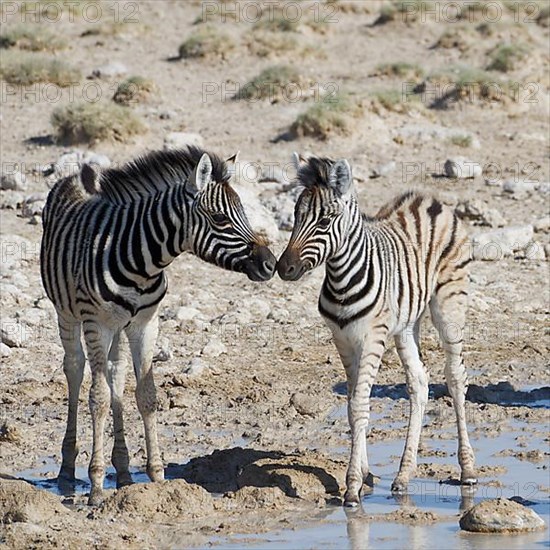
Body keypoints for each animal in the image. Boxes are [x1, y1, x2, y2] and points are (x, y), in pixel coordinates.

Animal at [41, 148, 278, 508]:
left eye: (244, 214)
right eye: (220, 219)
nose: (270, 264)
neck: (141, 263)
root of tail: (77, 174)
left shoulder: (145, 323)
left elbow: (146, 395)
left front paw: (156, 477)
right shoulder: (97, 323)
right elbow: (98, 398)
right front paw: (96, 486)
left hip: (120, 328)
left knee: (116, 375)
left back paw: (124, 471)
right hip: (67, 314)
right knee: (76, 369)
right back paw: (68, 470)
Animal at [280, 154, 478, 508]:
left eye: (325, 221)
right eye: (295, 216)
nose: (283, 269)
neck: (341, 279)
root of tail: (428, 198)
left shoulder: (373, 337)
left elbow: (360, 405)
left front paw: (352, 486)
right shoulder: (342, 339)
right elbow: (351, 405)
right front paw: (365, 474)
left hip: (449, 305)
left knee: (456, 378)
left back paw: (467, 469)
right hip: (406, 325)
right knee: (419, 383)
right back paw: (403, 475)